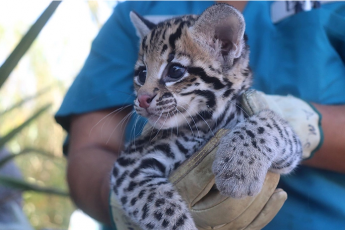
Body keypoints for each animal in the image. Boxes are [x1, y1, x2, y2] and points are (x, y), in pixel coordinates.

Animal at [110, 4, 300, 230]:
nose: (142, 99)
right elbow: (160, 207)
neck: (209, 122)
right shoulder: (129, 165)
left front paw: (239, 168)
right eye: (141, 74)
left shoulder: (286, 148)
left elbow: (271, 122)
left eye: (175, 71)